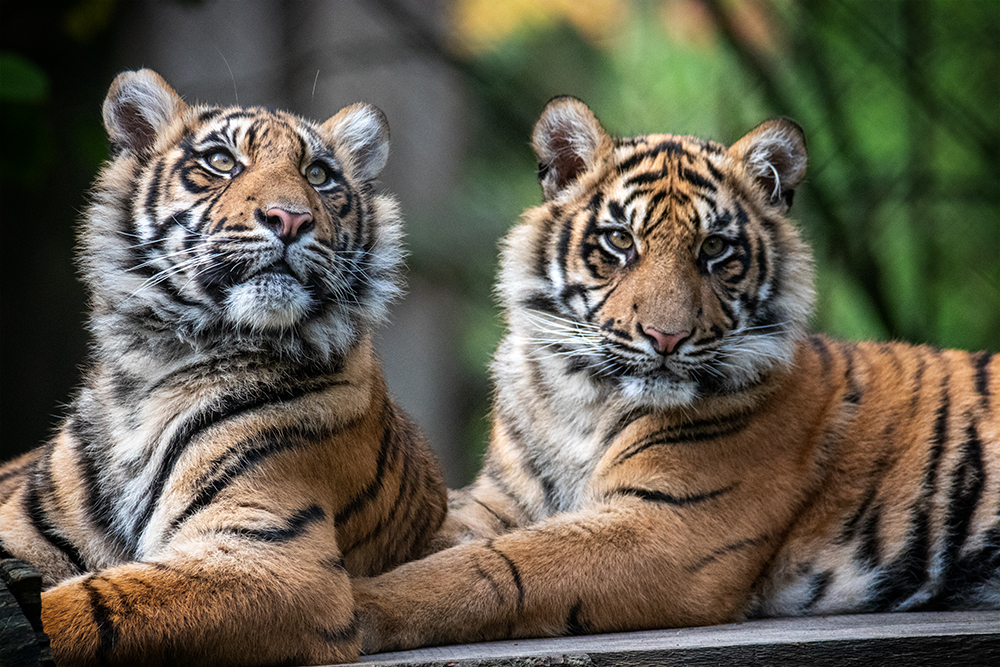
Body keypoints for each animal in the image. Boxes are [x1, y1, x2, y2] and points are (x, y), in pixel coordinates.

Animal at [0, 69, 446, 667]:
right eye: (221, 161)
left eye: (318, 174)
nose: (291, 218)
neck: (157, 361)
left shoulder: (273, 556)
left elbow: (88, 604)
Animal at [350, 96, 992, 656]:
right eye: (619, 240)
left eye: (714, 249)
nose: (666, 337)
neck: (581, 400)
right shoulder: (497, 501)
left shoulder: (670, 526)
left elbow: (494, 567)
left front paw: (363, 608)